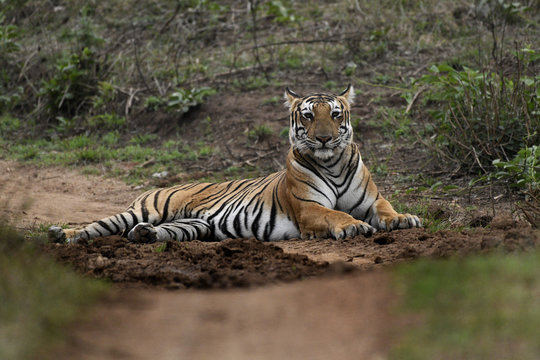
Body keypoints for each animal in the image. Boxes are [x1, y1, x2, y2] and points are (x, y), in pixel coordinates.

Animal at [48, 86, 422, 245]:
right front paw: (354, 227)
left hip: (194, 225)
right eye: (307, 116)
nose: (324, 139)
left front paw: (405, 219)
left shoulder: (372, 200)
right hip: (143, 209)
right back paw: (61, 235)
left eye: (334, 114)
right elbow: (335, 214)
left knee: (156, 232)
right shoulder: (308, 209)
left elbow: (387, 209)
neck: (332, 164)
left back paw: (144, 235)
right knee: (97, 226)